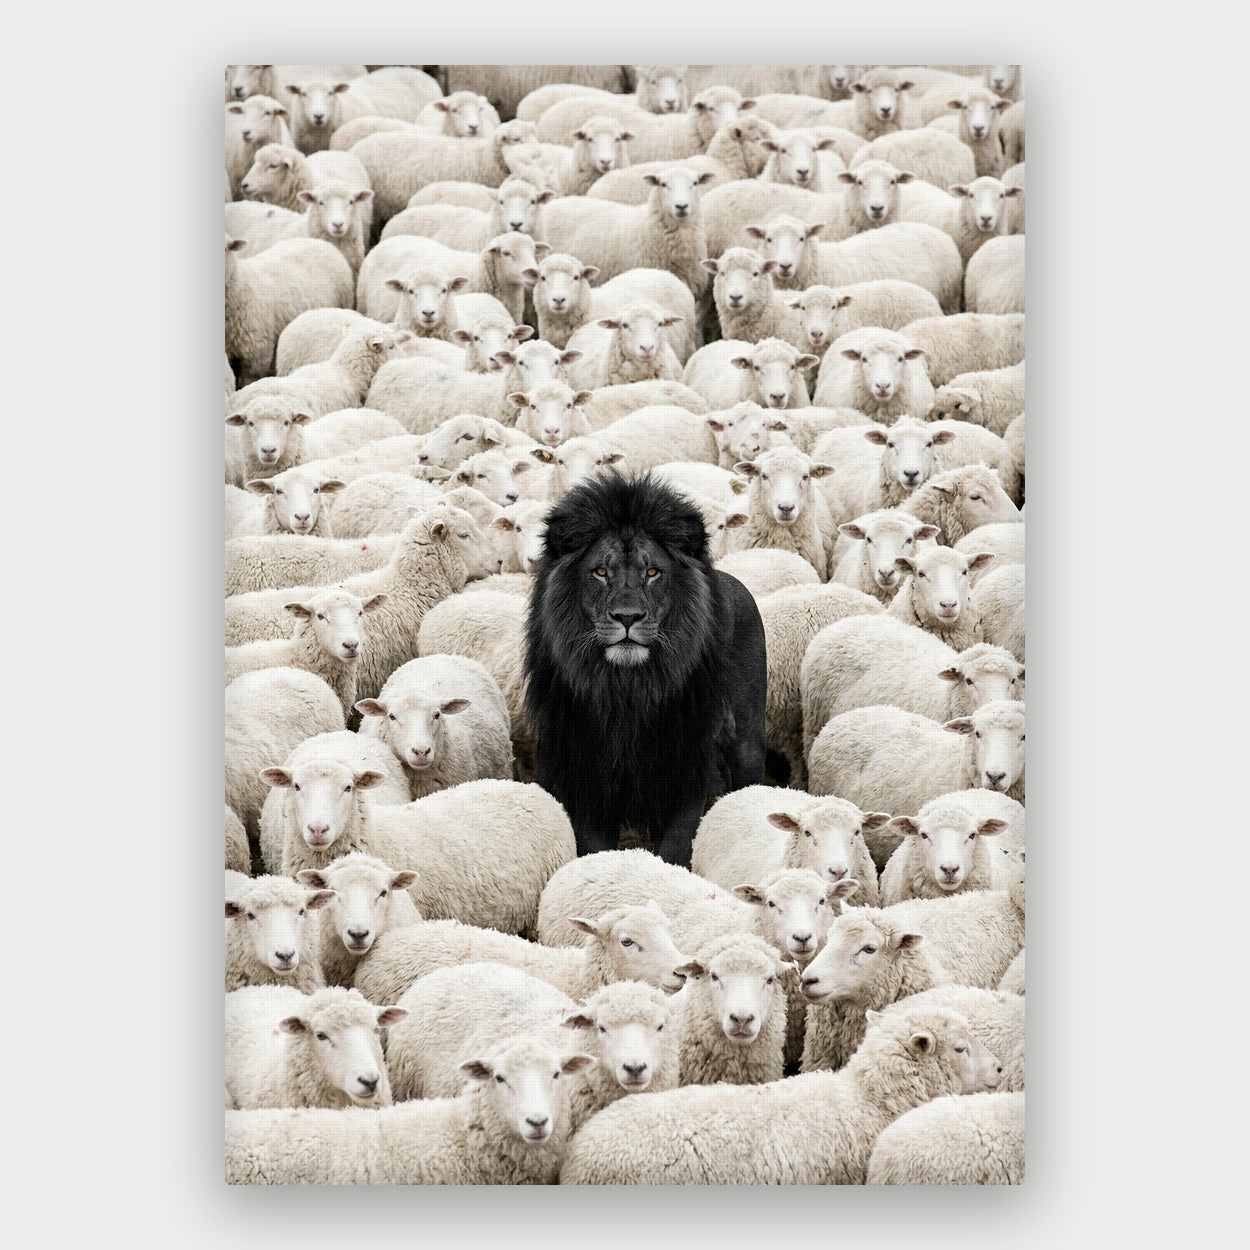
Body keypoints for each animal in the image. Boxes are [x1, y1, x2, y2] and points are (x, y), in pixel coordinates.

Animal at [524, 470, 767, 867]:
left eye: (652, 571)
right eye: (600, 572)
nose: (627, 617)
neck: (628, 691)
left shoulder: (684, 771)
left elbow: (675, 847)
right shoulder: (585, 778)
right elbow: (595, 849)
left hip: (747, 742)